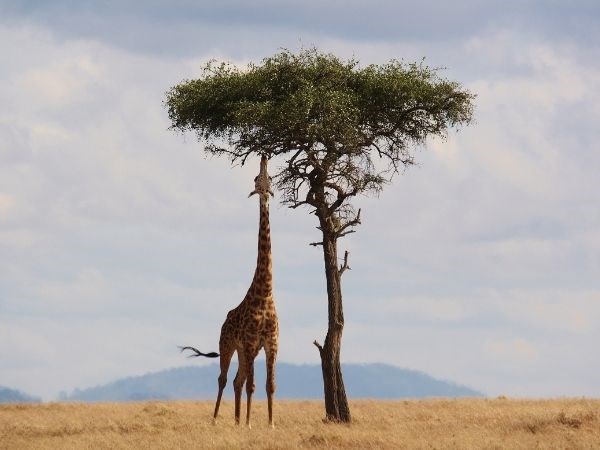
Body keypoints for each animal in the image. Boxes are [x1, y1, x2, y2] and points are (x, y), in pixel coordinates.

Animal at [179, 156, 280, 428]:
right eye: (256, 179)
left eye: (270, 178)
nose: (264, 157)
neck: (265, 293)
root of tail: (224, 321)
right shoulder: (251, 341)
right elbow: (253, 386)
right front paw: (249, 423)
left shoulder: (271, 343)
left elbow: (270, 385)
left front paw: (270, 424)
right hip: (227, 344)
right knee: (225, 379)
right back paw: (217, 419)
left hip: (245, 351)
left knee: (237, 380)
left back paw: (235, 421)